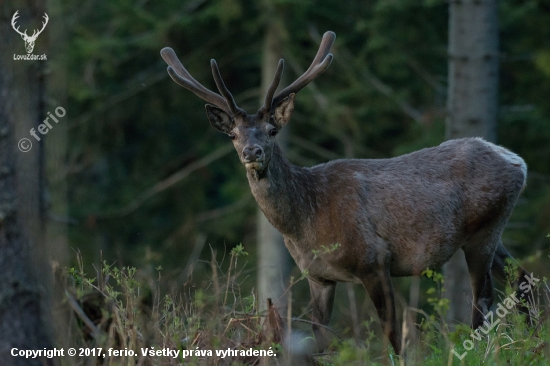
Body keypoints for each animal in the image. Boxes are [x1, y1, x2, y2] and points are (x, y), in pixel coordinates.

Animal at [162, 30, 532, 354]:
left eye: (272, 130)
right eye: (233, 135)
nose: (252, 152)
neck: (306, 222)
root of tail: (518, 162)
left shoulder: (374, 259)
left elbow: (391, 332)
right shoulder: (319, 276)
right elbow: (319, 337)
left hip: (483, 229)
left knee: (483, 300)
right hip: (493, 230)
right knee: (522, 276)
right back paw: (529, 337)